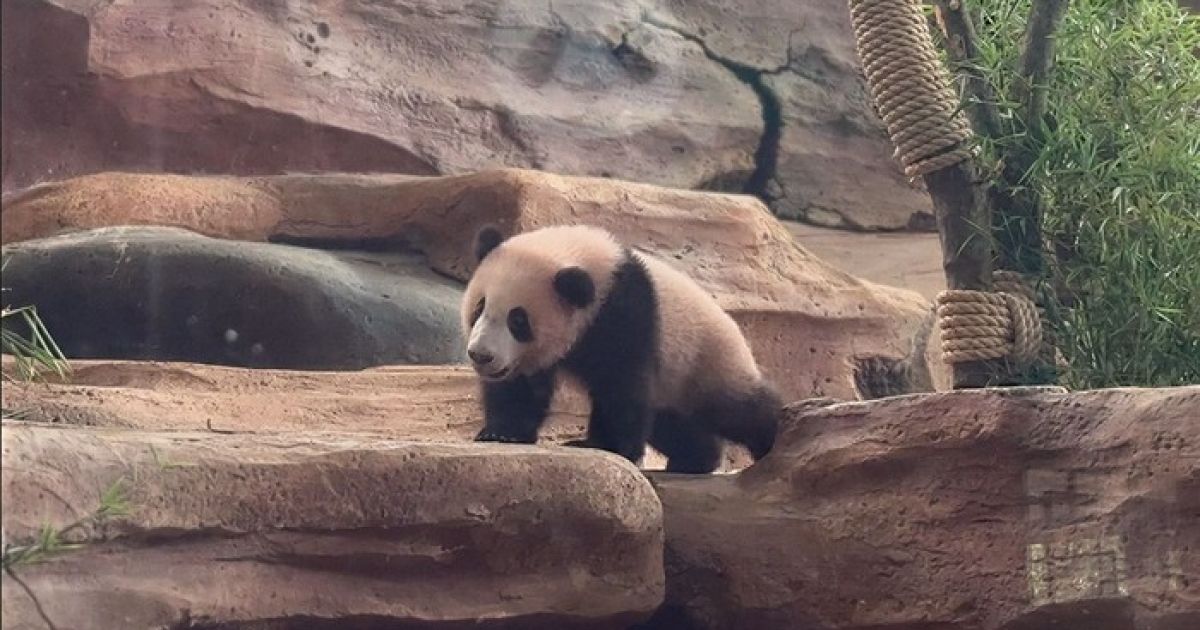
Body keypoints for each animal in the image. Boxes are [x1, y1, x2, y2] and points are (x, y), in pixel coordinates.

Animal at [461, 224, 782, 474]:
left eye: (517, 320)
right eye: (479, 307)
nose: (481, 355)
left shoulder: (623, 312)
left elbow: (620, 384)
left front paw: (606, 446)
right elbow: (520, 389)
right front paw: (502, 433)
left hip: (706, 361)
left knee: (740, 410)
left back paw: (776, 437)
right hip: (673, 387)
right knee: (672, 424)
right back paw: (696, 459)